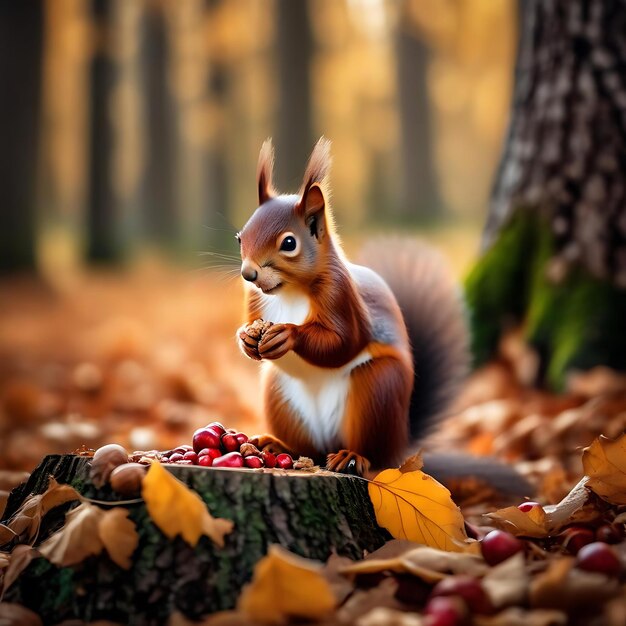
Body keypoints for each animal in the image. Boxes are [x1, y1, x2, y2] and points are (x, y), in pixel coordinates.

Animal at [234, 138, 468, 478]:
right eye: (240, 237)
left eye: (289, 243)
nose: (248, 274)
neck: (290, 291)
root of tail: (401, 447)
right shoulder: (255, 299)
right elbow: (251, 322)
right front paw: (247, 338)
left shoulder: (341, 297)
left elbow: (342, 342)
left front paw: (288, 334)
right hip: (279, 394)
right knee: (309, 449)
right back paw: (278, 446)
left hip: (377, 391)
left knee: (371, 450)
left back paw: (352, 457)